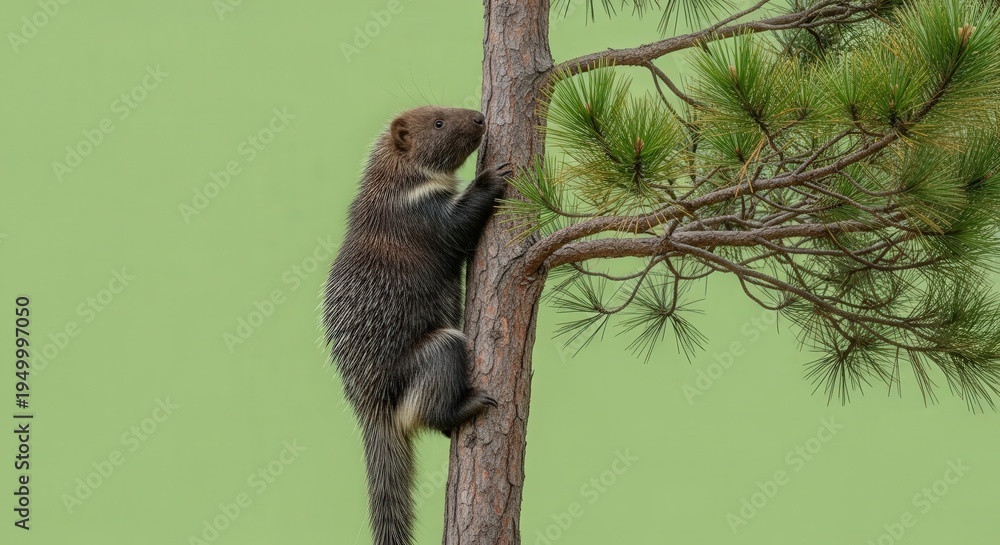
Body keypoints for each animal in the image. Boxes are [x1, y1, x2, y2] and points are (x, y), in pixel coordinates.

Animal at [323, 106, 510, 545]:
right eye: (438, 123)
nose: (479, 117)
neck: (398, 183)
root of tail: (370, 408)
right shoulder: (425, 215)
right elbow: (459, 223)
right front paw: (492, 177)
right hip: (440, 347)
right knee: (431, 410)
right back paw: (473, 403)